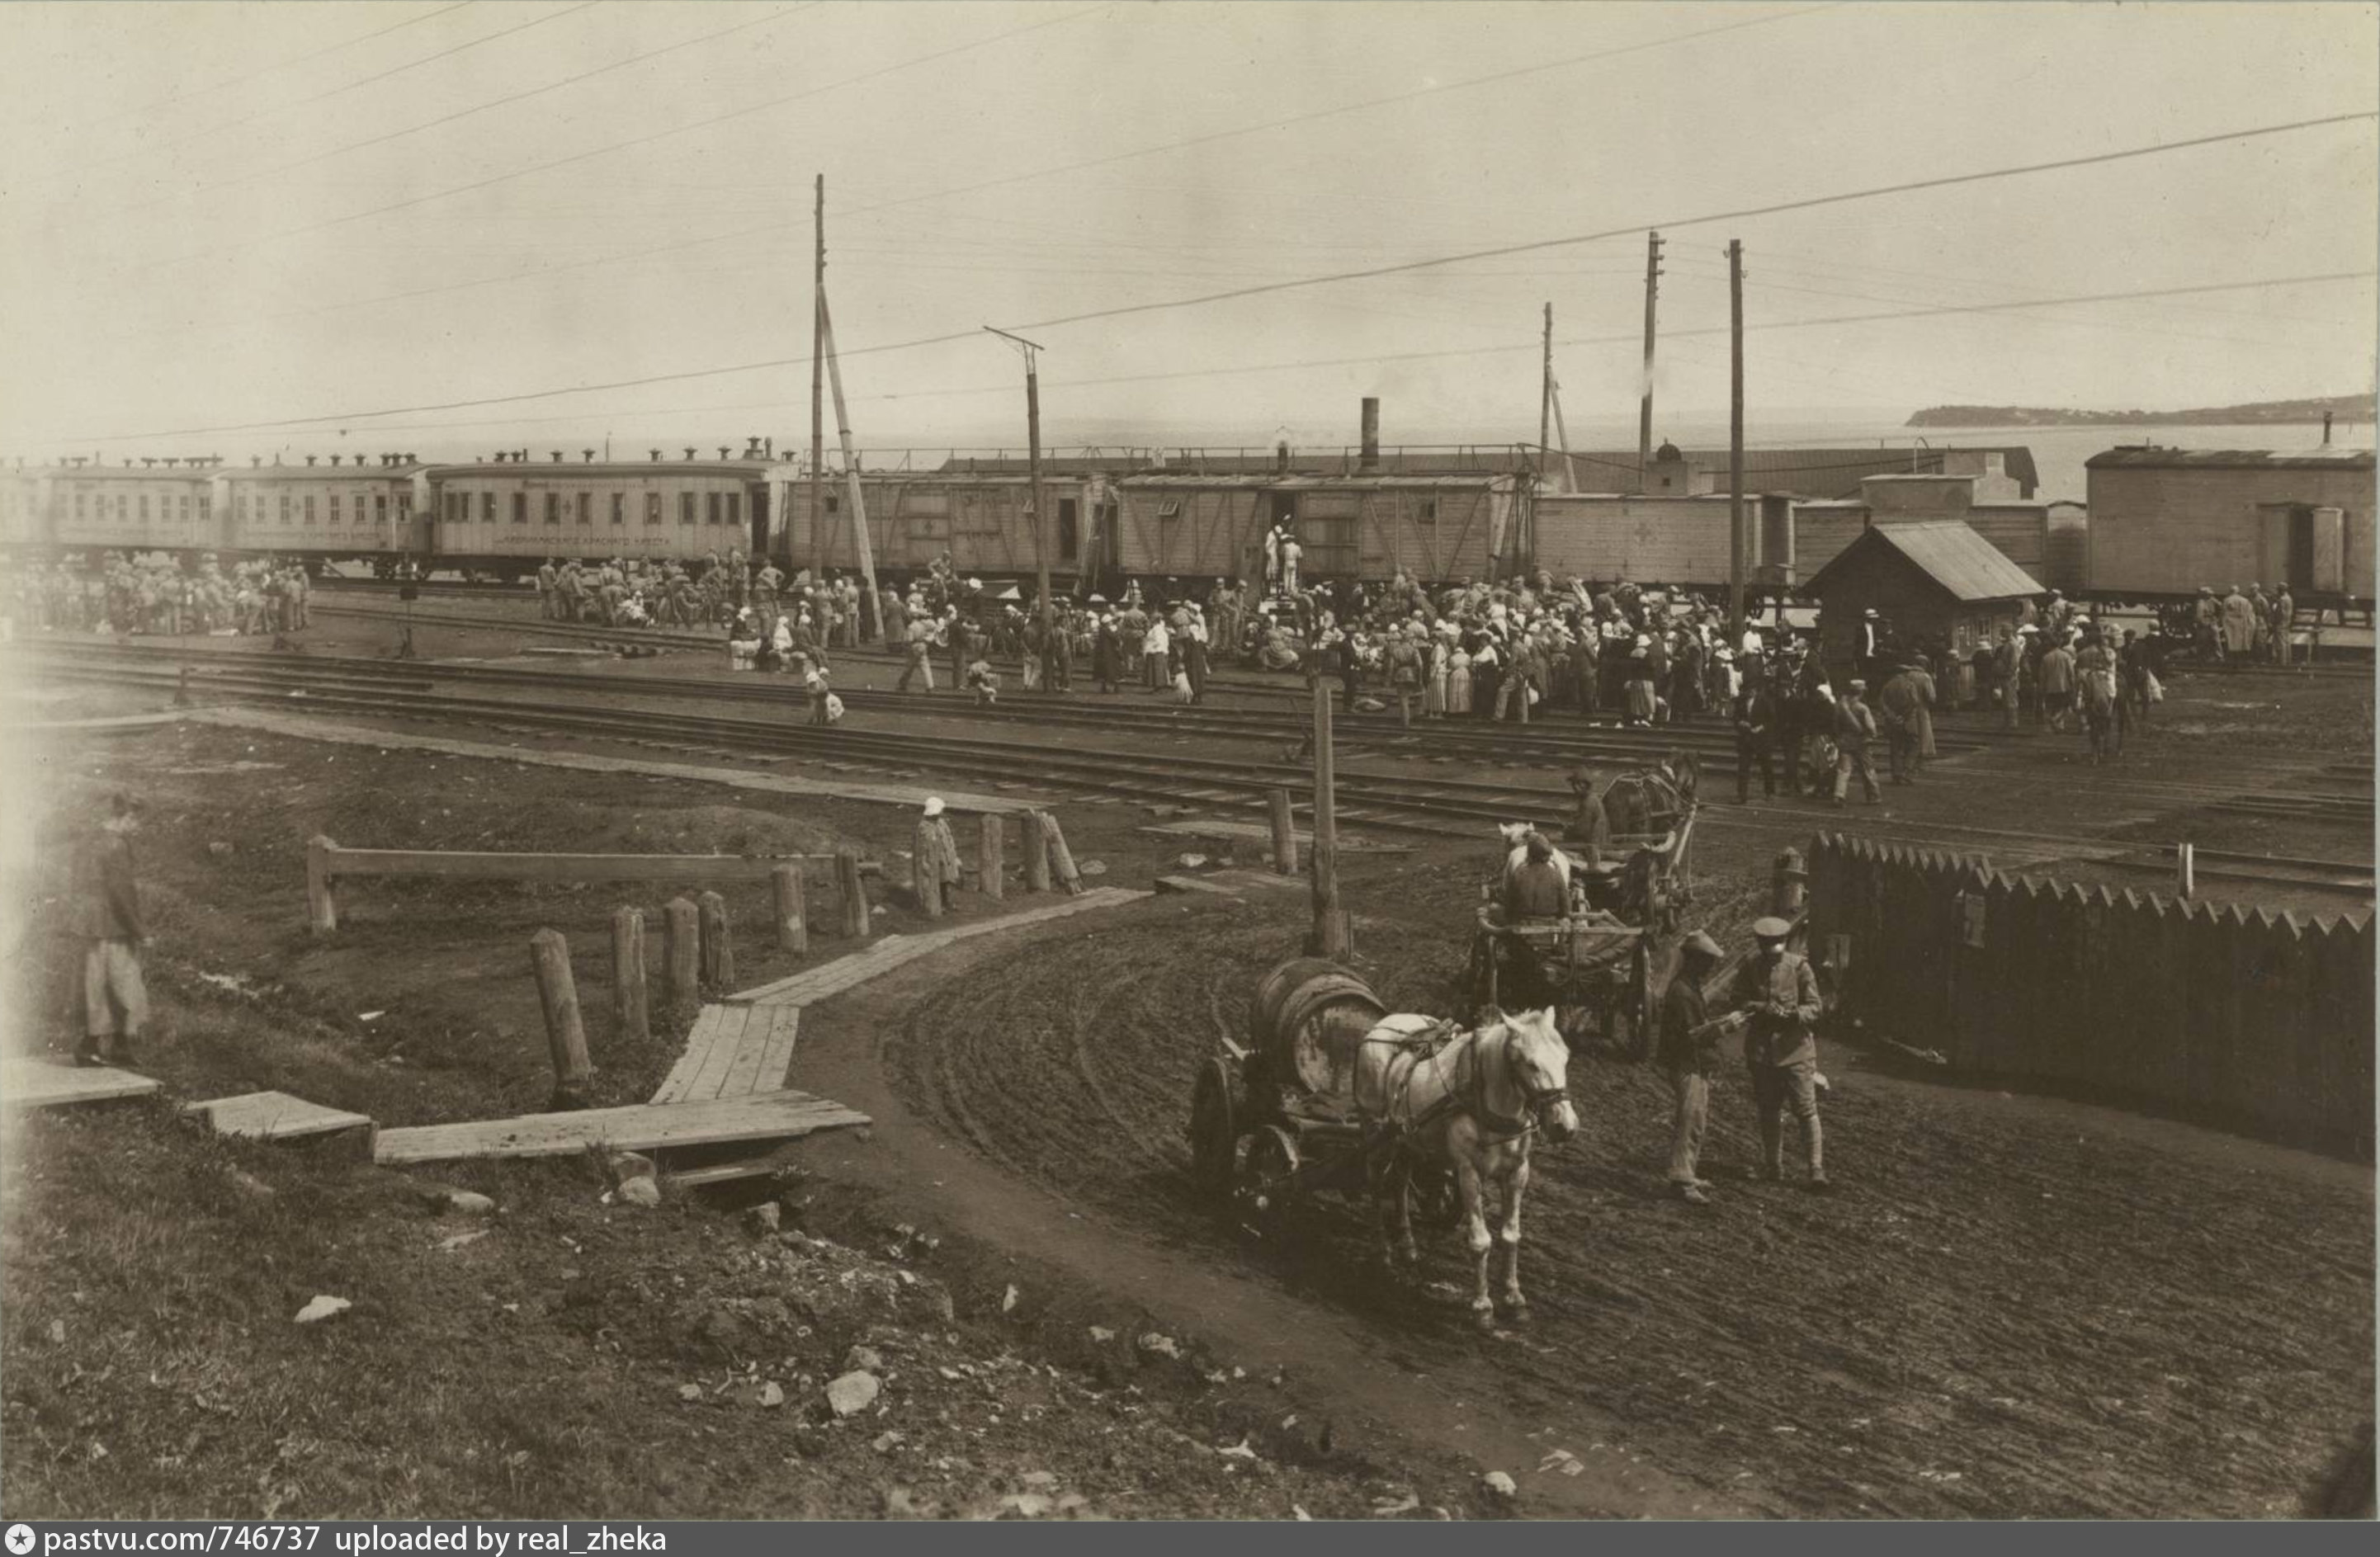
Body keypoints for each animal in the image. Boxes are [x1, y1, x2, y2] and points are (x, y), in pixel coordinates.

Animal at [1361, 1014, 1580, 1333]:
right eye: (1530, 1064)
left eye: (1565, 1057)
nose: (1566, 1126)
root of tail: (1385, 1022)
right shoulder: (1468, 1173)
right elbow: (1480, 1242)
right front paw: (1482, 1306)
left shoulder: (1517, 1173)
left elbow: (1511, 1236)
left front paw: (1514, 1298)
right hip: (1378, 1136)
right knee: (1376, 1184)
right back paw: (1384, 1249)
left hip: (1409, 1141)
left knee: (1400, 1184)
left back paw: (1408, 1245)